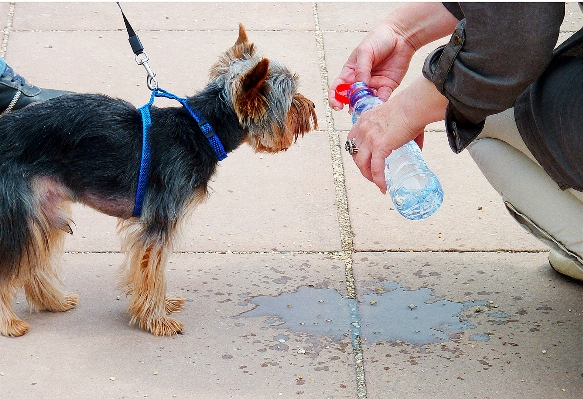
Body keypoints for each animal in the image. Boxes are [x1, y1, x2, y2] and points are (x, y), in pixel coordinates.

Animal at [0, 25, 318, 338]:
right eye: (291, 100)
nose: (313, 106)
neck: (201, 129)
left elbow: (149, 270)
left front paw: (161, 307)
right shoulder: (160, 220)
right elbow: (153, 269)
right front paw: (157, 319)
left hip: (43, 208)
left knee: (34, 258)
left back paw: (54, 301)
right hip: (18, 208)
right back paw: (10, 323)